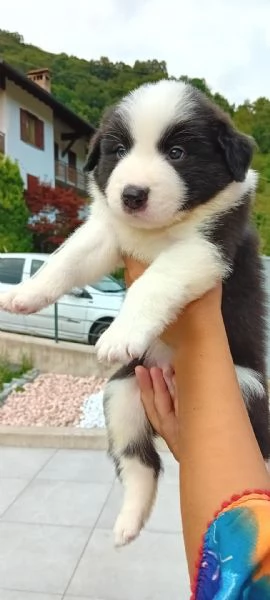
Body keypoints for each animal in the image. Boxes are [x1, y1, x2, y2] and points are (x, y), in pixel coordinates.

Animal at [1, 79, 268, 548]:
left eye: (177, 153)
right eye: (119, 149)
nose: (132, 195)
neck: (158, 231)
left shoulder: (205, 247)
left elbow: (154, 281)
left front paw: (119, 334)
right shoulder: (107, 233)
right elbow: (66, 259)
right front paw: (25, 294)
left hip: (245, 388)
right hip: (123, 393)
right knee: (141, 462)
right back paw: (128, 521)